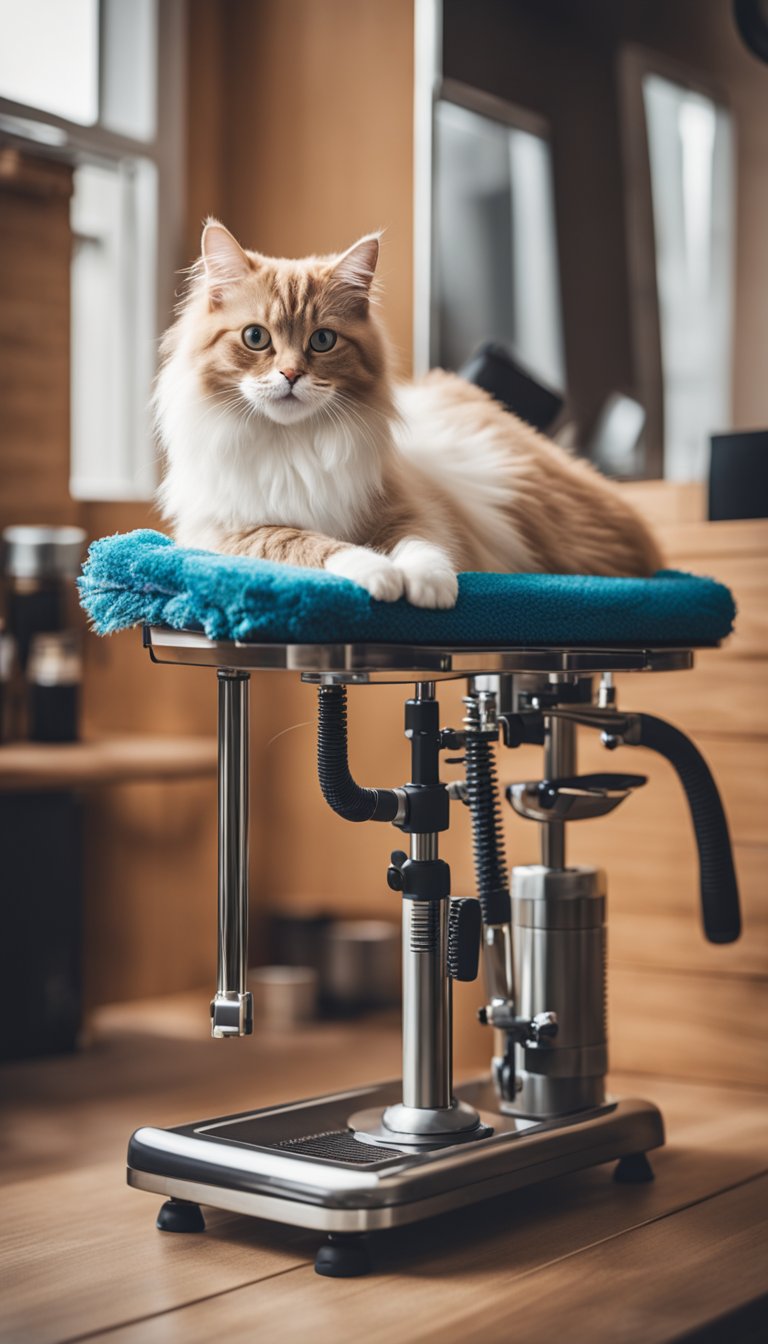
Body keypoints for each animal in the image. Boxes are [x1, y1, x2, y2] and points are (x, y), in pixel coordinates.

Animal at [156, 223, 661, 607]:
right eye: (256, 338)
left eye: (322, 341)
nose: (291, 374)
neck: (291, 443)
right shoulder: (228, 534)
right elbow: (309, 543)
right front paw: (379, 575)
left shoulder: (410, 508)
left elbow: (422, 546)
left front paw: (425, 587)